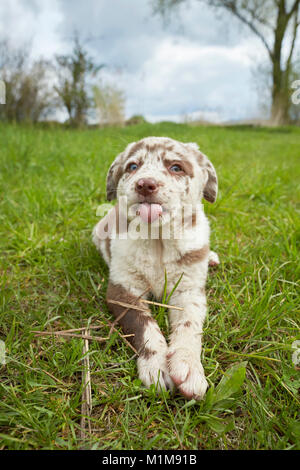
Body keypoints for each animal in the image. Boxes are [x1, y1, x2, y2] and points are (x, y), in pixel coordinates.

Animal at [92, 137, 219, 400]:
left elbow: (190, 325)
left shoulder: (189, 291)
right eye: (132, 166)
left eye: (176, 167)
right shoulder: (123, 290)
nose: (145, 184)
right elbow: (144, 326)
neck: (158, 241)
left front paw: (189, 368)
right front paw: (157, 367)